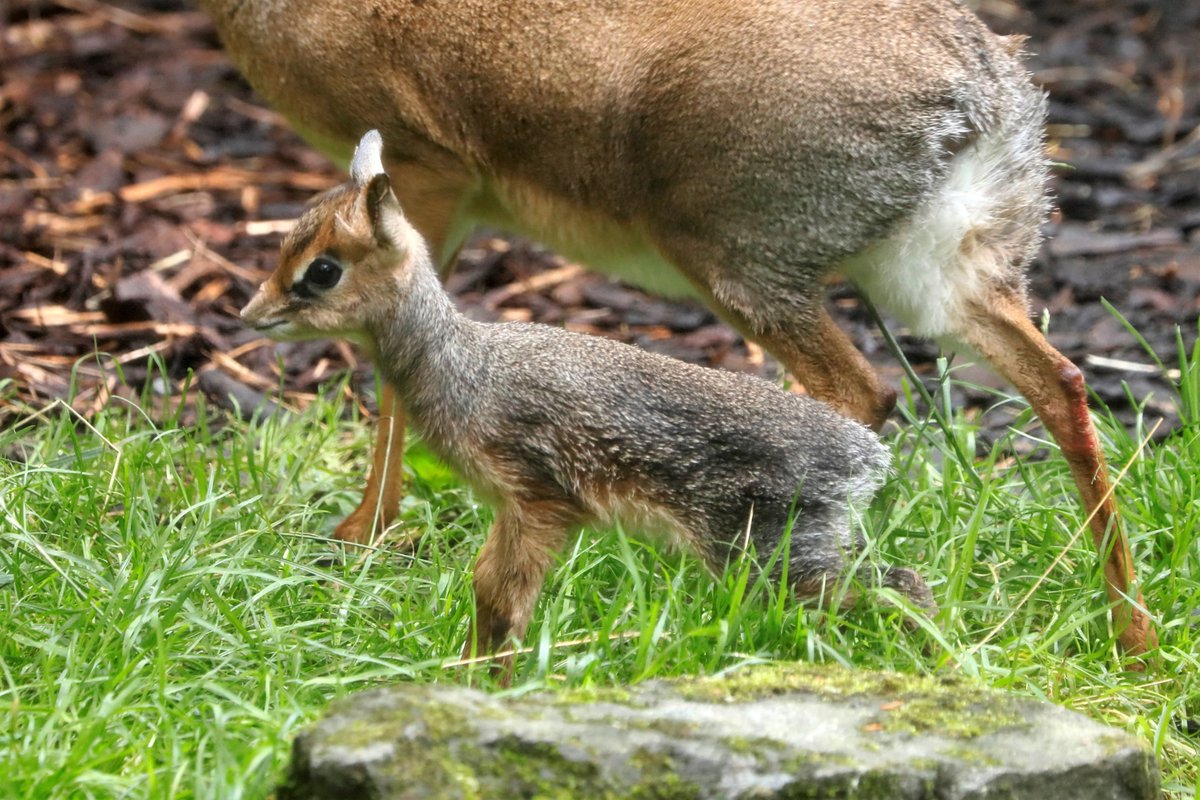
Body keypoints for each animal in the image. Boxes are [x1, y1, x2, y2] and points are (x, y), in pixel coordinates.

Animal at [241, 133, 936, 676]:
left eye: (322, 270)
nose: (251, 314)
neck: (465, 366)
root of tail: (866, 458)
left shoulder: (537, 501)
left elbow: (503, 599)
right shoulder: (519, 512)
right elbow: (491, 597)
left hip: (771, 557)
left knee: (898, 588)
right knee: (902, 582)